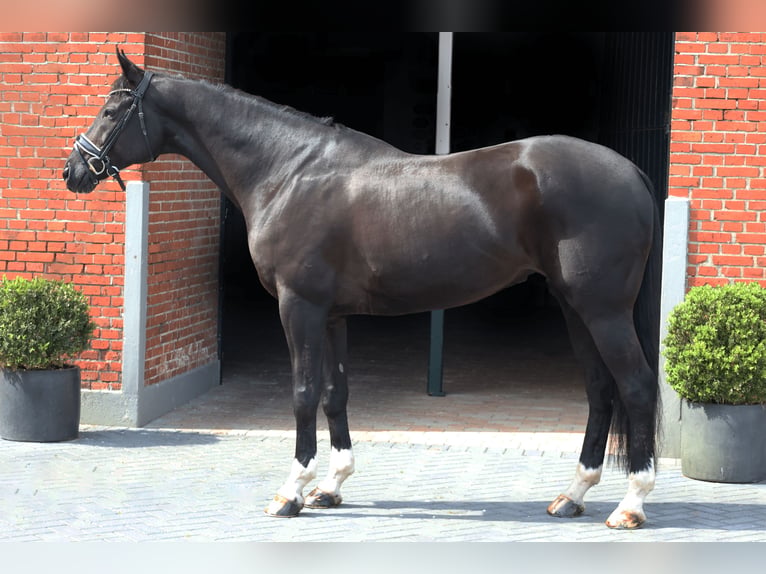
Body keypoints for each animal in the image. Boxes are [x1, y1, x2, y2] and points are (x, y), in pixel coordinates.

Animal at [63, 49, 662, 529]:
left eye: (113, 109)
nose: (75, 170)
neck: (287, 170)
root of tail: (632, 173)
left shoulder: (299, 307)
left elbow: (304, 393)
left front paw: (290, 493)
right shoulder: (331, 315)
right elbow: (336, 393)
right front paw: (331, 486)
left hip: (603, 310)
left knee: (634, 387)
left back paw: (630, 505)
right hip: (573, 307)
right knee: (600, 391)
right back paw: (573, 495)